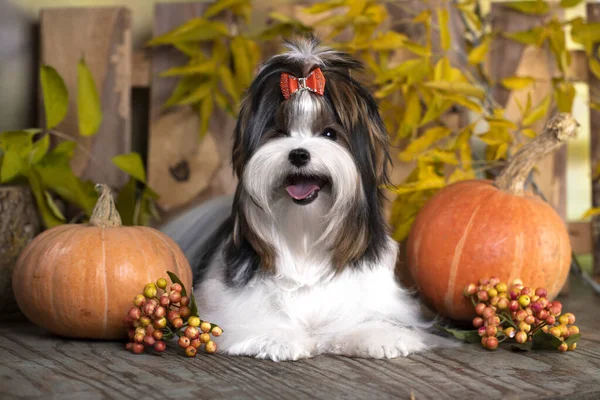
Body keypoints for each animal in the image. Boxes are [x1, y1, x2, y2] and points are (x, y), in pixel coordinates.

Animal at [162, 38, 448, 362]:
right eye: (279, 133)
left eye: (329, 133)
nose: (298, 154)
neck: (303, 233)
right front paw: (277, 338)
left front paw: (379, 335)